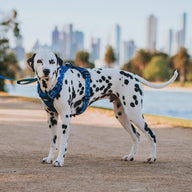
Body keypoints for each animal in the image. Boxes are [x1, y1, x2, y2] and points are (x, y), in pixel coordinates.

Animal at [27, 49, 178, 166]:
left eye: (52, 61)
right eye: (39, 61)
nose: (46, 71)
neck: (52, 84)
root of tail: (134, 76)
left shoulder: (65, 117)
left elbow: (63, 142)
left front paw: (59, 160)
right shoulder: (52, 118)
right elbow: (53, 142)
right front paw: (50, 158)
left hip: (134, 113)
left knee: (151, 134)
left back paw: (152, 157)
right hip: (122, 116)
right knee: (136, 136)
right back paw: (130, 156)